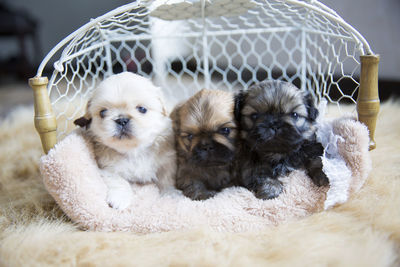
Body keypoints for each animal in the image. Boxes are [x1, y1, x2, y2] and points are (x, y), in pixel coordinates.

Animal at [74, 72, 177, 210]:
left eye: (142, 109)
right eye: (103, 112)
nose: (121, 120)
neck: (134, 151)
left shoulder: (167, 163)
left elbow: (167, 180)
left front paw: (171, 194)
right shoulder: (108, 168)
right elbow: (119, 181)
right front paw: (119, 199)